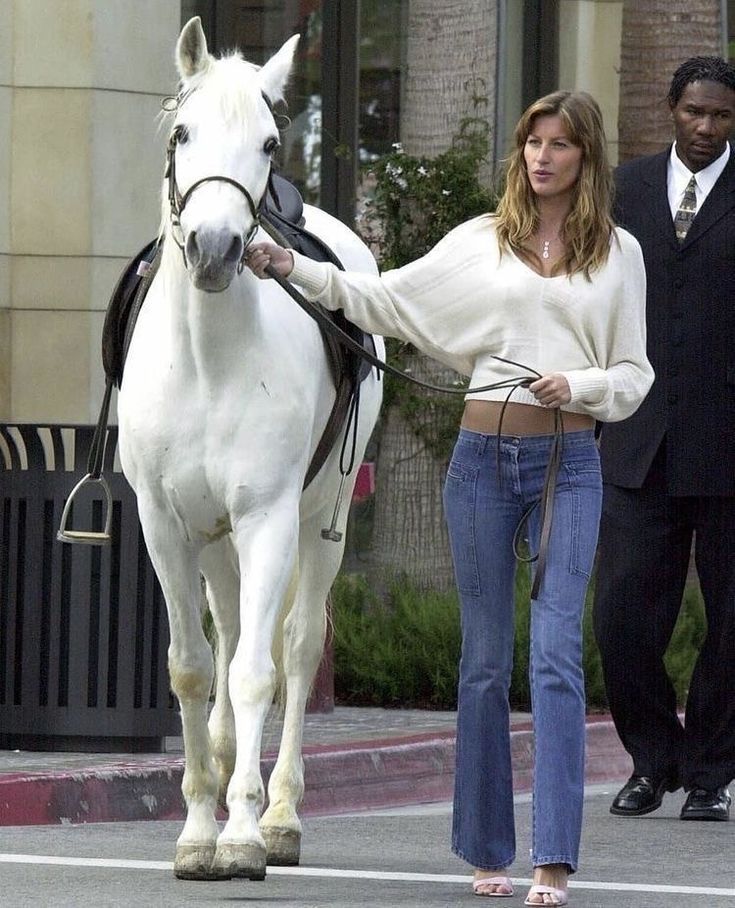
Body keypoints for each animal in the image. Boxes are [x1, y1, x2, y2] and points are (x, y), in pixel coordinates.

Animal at [118, 14, 382, 880]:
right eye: (182, 133)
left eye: (270, 141)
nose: (215, 247)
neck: (208, 358)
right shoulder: (165, 526)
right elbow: (195, 668)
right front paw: (199, 826)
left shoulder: (268, 520)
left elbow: (259, 672)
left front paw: (239, 831)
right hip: (215, 542)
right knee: (230, 634)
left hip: (320, 525)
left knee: (292, 649)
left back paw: (280, 814)